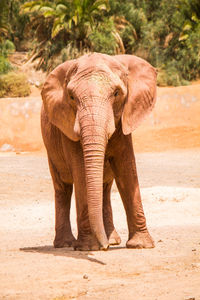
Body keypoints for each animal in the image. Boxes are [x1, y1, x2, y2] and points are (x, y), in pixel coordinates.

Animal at [40, 52, 156, 251]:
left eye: (116, 93)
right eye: (71, 97)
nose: (104, 248)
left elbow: (126, 169)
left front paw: (142, 245)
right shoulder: (68, 126)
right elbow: (81, 173)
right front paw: (88, 248)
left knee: (105, 188)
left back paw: (112, 240)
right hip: (51, 149)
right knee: (63, 188)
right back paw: (66, 244)